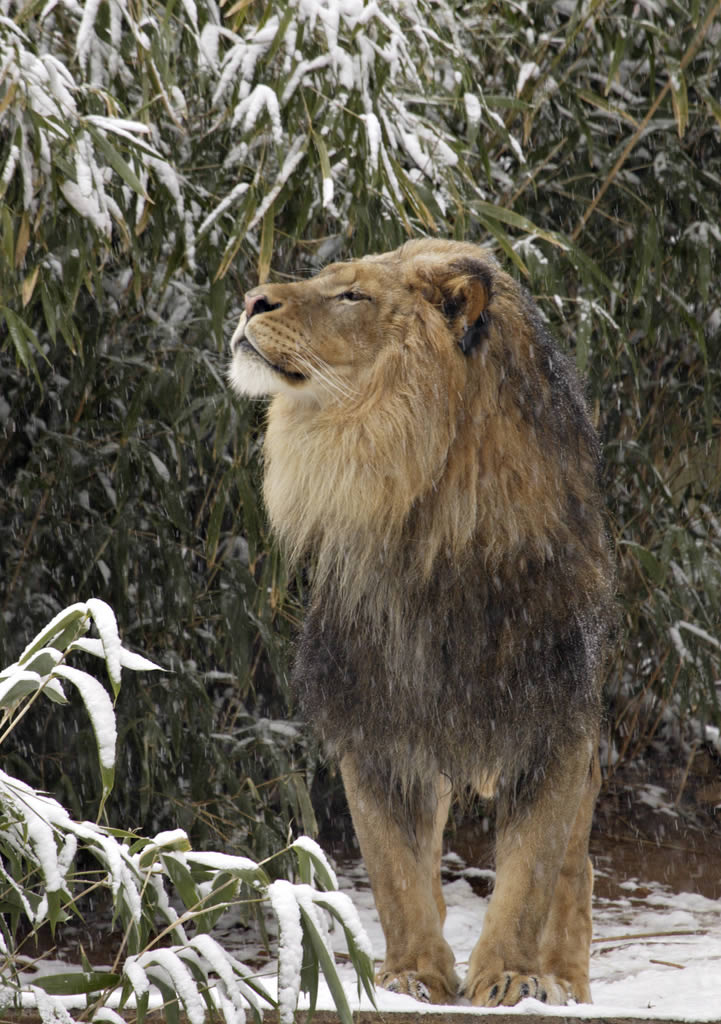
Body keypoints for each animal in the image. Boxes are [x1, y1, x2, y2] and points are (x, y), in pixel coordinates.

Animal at [229, 239, 614, 1007]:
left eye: (352, 296)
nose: (252, 300)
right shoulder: (374, 720)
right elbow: (396, 874)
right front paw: (412, 974)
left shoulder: (556, 719)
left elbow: (531, 873)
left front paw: (511, 976)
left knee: (575, 869)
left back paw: (563, 979)